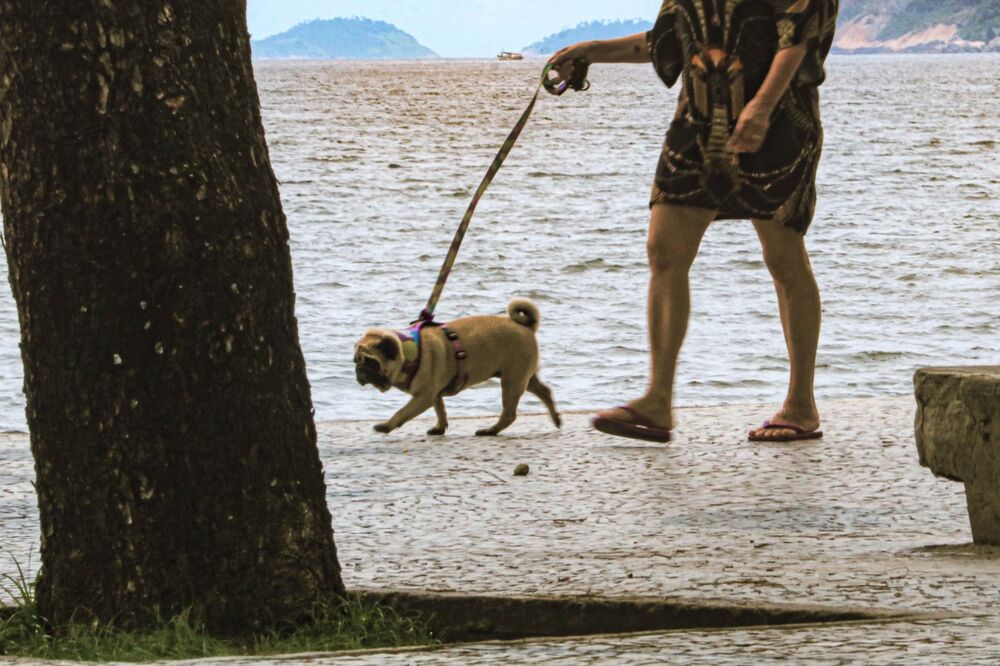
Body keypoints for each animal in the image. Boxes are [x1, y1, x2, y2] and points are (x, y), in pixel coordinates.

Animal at [356, 296, 564, 436]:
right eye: (355, 360)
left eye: (371, 361)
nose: (359, 371)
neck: (411, 351)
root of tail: (525, 327)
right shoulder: (434, 393)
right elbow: (440, 409)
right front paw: (440, 428)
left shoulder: (422, 397)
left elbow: (403, 412)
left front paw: (386, 426)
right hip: (523, 377)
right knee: (544, 391)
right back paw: (556, 418)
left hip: (512, 380)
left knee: (510, 413)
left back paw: (491, 430)